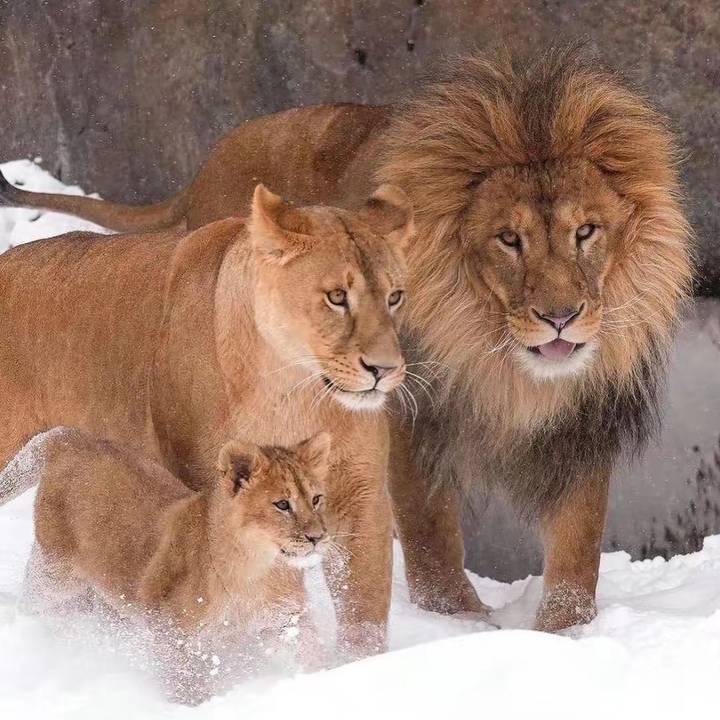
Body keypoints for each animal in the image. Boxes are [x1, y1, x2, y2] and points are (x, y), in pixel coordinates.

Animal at [0, 182, 414, 657]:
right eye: (337, 297)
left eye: (395, 297)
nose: (385, 370)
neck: (294, 390)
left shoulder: (359, 494)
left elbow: (363, 609)